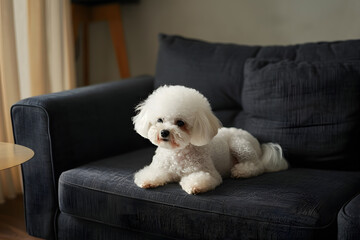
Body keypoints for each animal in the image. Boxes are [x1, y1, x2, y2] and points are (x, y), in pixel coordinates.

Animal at [132, 85, 286, 194]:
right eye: (160, 120)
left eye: (180, 123)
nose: (164, 132)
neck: (177, 152)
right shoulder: (159, 168)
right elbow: (151, 174)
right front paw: (148, 181)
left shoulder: (210, 174)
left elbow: (201, 179)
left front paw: (194, 186)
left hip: (240, 145)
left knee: (257, 166)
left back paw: (241, 171)